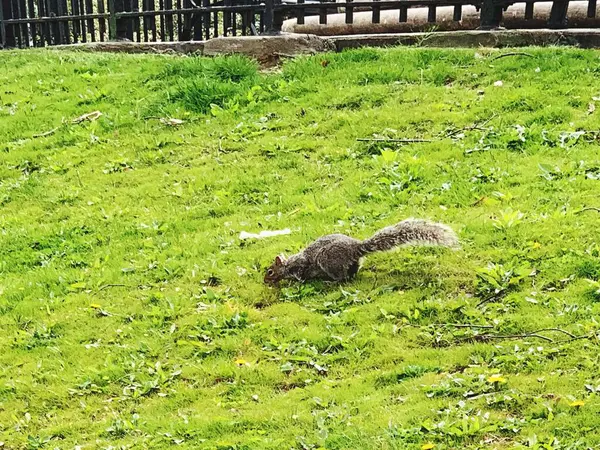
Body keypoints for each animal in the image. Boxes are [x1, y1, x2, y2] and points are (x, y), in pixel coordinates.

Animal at [264, 218, 460, 284]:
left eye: (270, 271)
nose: (265, 281)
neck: (288, 264)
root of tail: (355, 249)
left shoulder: (300, 265)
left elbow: (301, 274)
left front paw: (295, 282)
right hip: (350, 263)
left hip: (328, 261)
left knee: (342, 277)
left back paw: (331, 282)